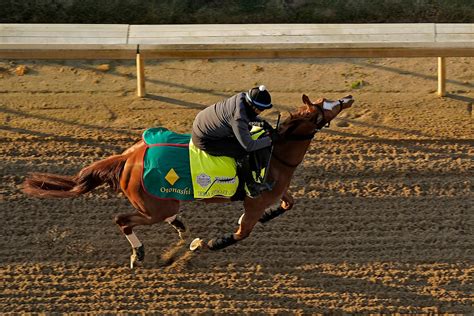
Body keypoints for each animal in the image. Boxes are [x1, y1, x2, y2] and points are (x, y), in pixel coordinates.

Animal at [24, 93, 354, 266]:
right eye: (327, 105)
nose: (348, 97)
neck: (274, 153)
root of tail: (128, 158)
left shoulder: (275, 192)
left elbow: (288, 204)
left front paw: (269, 216)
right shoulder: (254, 202)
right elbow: (240, 233)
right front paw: (205, 244)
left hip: (161, 203)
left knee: (163, 215)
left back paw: (179, 227)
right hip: (154, 206)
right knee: (123, 219)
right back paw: (139, 252)